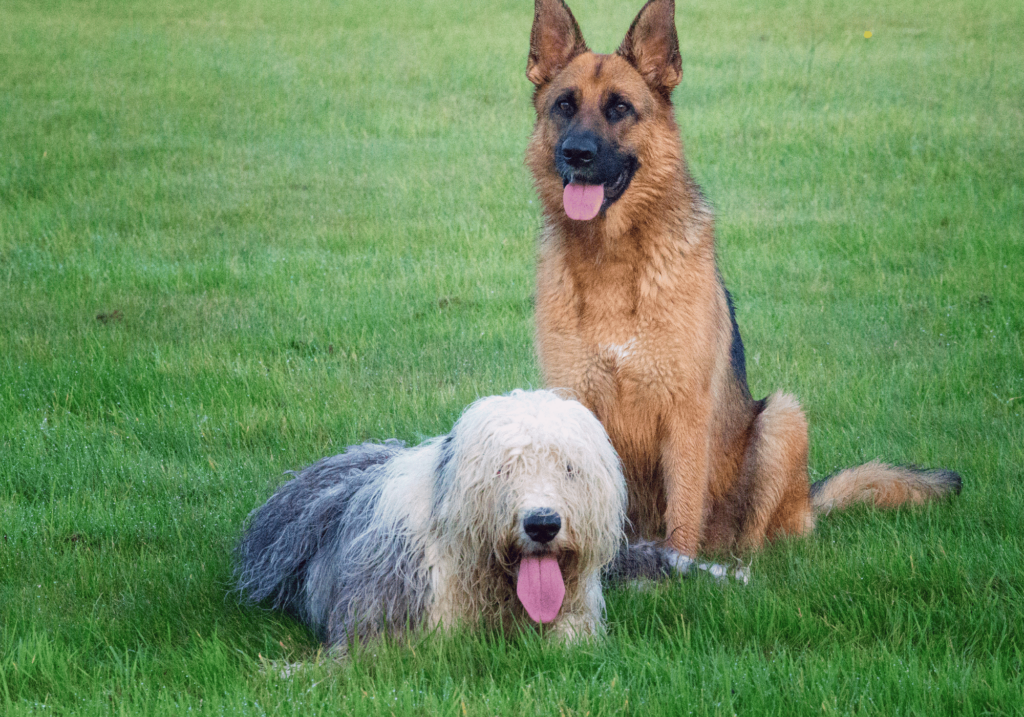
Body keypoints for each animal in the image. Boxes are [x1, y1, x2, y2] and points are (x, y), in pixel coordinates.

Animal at [524, 0, 962, 561]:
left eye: (620, 108)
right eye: (564, 105)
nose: (576, 154)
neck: (614, 260)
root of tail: (808, 502)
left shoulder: (685, 415)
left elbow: (683, 511)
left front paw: (678, 571)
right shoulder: (573, 404)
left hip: (782, 417)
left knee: (754, 537)